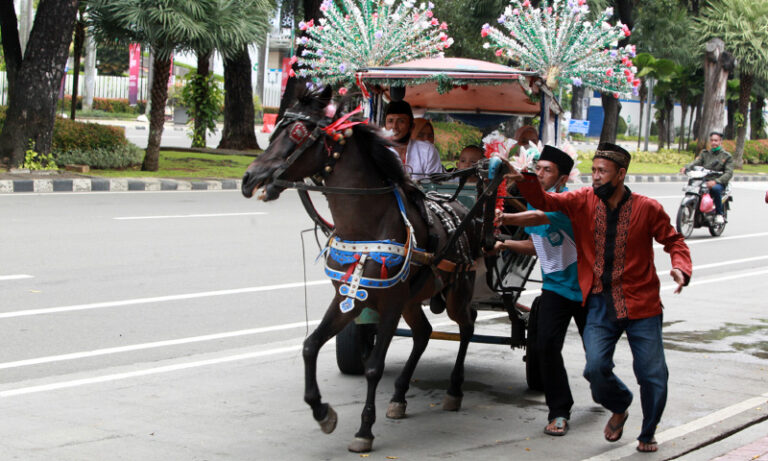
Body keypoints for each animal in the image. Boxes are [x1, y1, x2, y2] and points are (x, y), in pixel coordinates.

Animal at [242, 87, 480, 452]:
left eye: (296, 133)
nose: (249, 178)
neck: (366, 225)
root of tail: (456, 204)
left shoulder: (390, 303)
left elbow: (373, 368)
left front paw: (365, 430)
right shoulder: (350, 297)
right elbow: (310, 345)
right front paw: (322, 412)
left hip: (456, 291)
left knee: (467, 326)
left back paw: (454, 390)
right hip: (413, 300)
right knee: (424, 333)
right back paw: (399, 396)